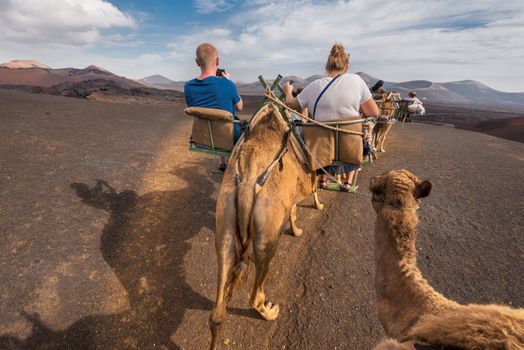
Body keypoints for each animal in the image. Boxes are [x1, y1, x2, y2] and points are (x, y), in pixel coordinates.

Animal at [209, 102, 324, 348]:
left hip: (224, 227)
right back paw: (270, 311)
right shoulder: (306, 180)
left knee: (217, 311)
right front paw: (305, 221)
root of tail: (247, 184)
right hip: (266, 238)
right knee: (255, 293)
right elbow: (307, 197)